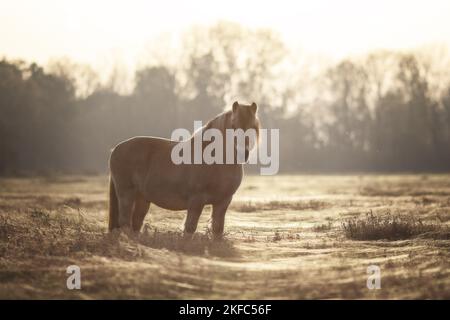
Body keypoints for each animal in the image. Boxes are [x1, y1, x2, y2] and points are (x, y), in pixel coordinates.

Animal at [107, 101, 260, 239]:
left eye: (253, 127)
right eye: (233, 126)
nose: (243, 154)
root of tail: (116, 148)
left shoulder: (223, 202)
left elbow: (217, 230)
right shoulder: (196, 200)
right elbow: (190, 229)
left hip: (142, 198)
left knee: (135, 224)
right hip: (126, 194)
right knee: (125, 222)